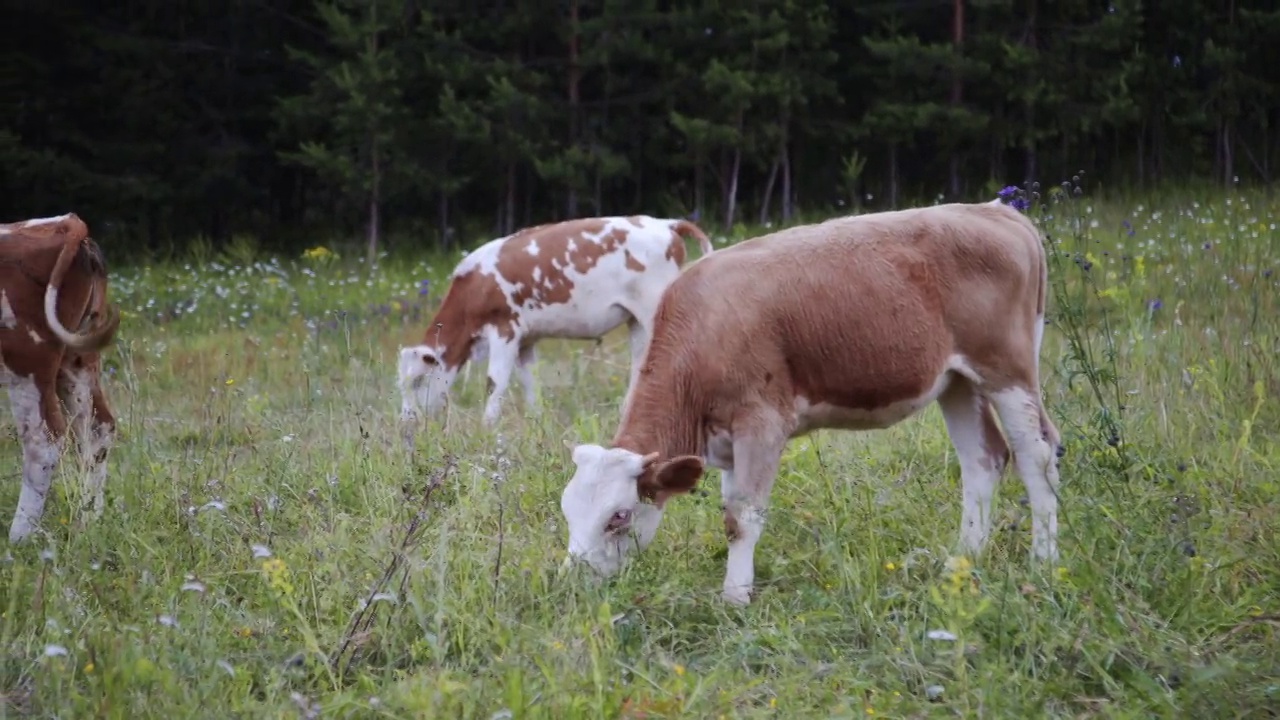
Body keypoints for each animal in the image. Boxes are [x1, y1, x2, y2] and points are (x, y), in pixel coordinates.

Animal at [1, 211, 120, 538]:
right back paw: (88, 521)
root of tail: (67, 222)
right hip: (78, 359)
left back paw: (19, 538)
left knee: (43, 441)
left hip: (26, 361)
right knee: (98, 427)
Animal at [399, 212, 716, 425]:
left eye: (417, 381)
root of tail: (665, 223)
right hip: (637, 321)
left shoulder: (505, 329)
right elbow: (530, 382)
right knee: (641, 365)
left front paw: (487, 427)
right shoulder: (526, 340)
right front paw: (536, 420)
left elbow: (494, 381)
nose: (407, 420)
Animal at [555, 199, 1064, 604]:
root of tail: (994, 210)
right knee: (983, 460)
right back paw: (962, 559)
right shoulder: (728, 442)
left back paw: (1043, 560)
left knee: (1036, 454)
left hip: (1007, 368)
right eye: (567, 510)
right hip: (957, 380)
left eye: (618, 517)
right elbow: (731, 510)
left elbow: (742, 518)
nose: (573, 581)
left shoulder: (762, 422)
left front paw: (734, 598)